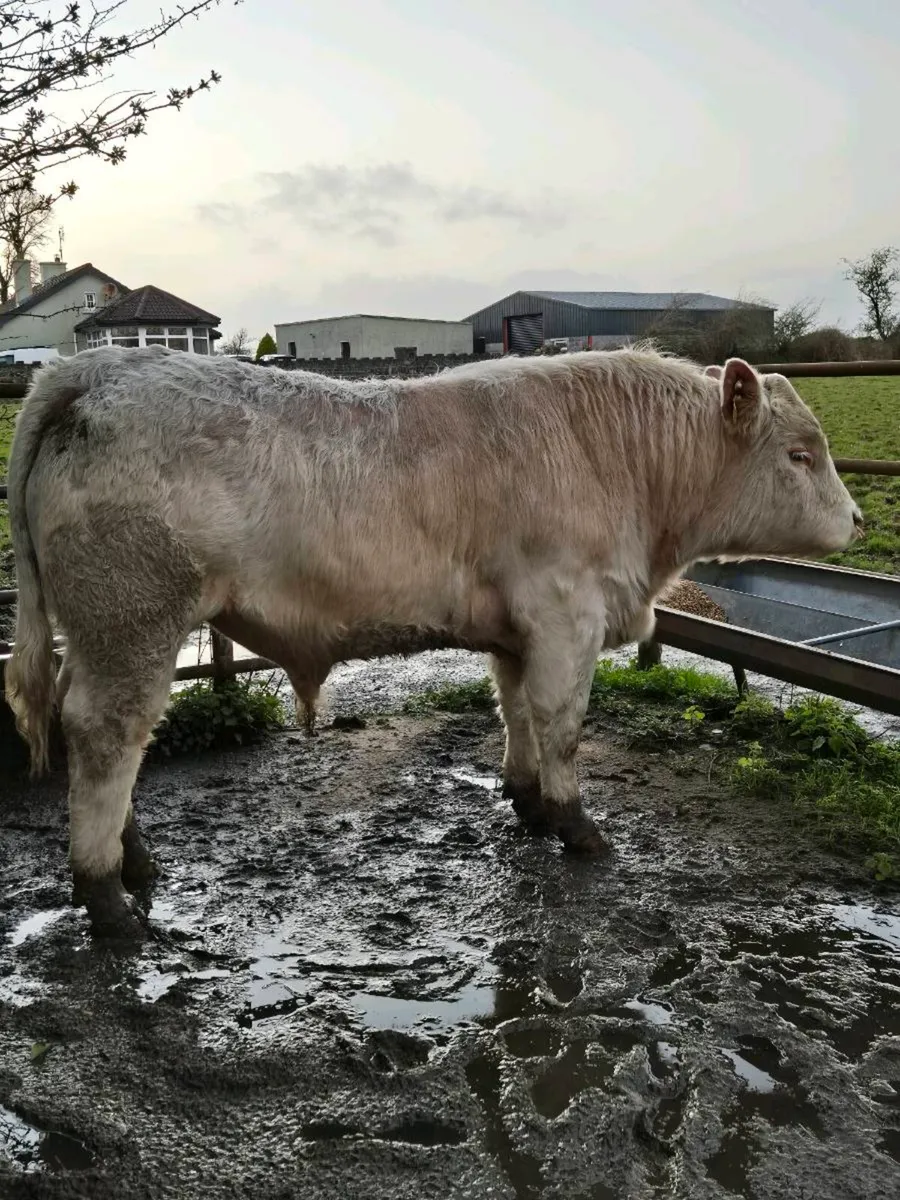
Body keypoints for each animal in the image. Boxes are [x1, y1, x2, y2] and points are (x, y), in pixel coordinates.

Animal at [4, 345, 862, 937]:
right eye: (800, 454)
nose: (857, 520)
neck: (613, 461)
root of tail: (95, 366)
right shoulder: (566, 614)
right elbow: (563, 723)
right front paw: (577, 825)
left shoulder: (518, 628)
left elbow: (516, 711)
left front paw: (527, 801)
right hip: (135, 617)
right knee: (108, 735)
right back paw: (109, 898)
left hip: (101, 627)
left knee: (94, 729)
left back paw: (136, 860)